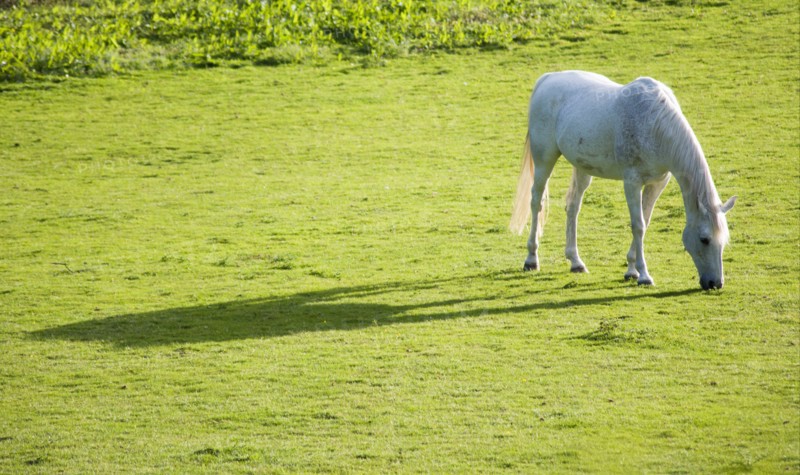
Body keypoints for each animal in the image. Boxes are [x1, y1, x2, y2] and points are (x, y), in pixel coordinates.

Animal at [509, 71, 736, 290]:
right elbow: (638, 225)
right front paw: (644, 276)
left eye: (724, 241)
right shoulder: (632, 182)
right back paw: (531, 259)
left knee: (572, 207)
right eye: (704, 239)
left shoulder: (657, 183)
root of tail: (547, 78)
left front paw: (631, 270)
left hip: (582, 168)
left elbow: (646, 221)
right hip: (544, 161)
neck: (653, 124)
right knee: (536, 202)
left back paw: (576, 262)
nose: (715, 283)